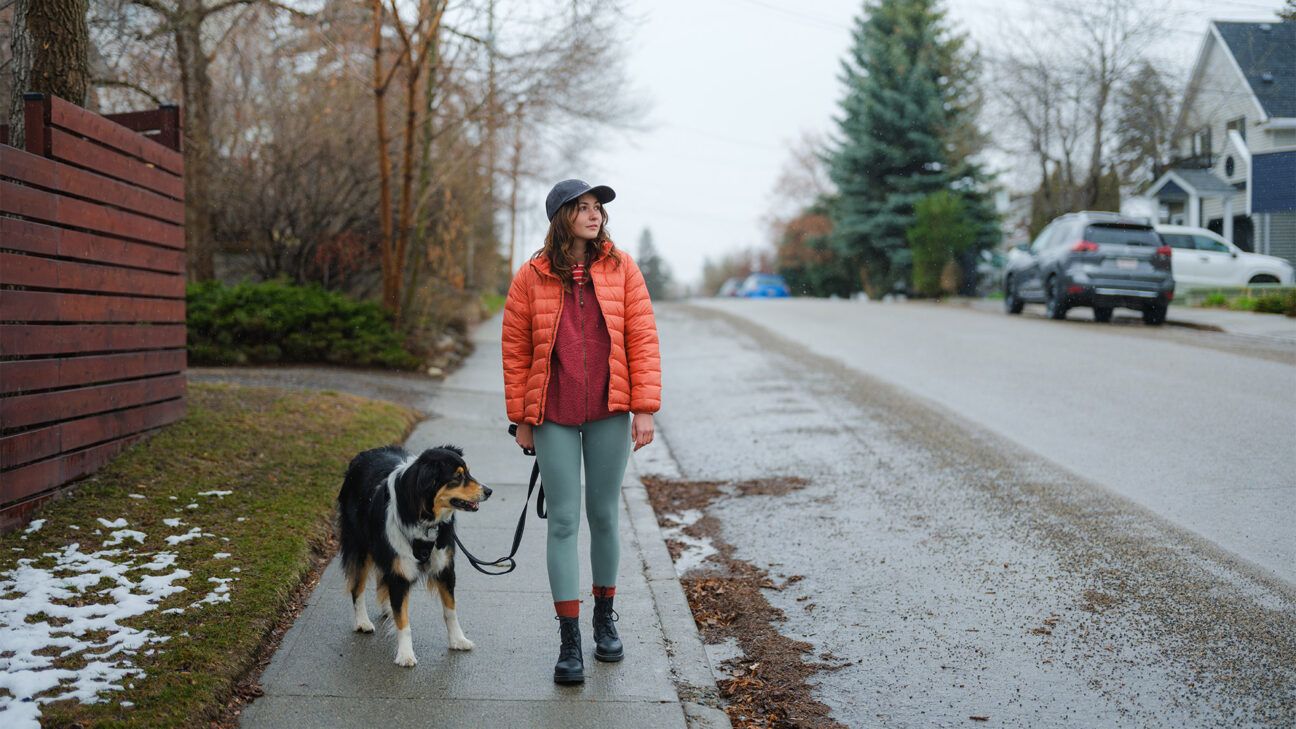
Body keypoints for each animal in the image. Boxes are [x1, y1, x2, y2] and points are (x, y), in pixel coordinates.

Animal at [334, 443, 489, 664]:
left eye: (468, 472)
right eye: (457, 477)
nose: (489, 491)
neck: (424, 517)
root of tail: (361, 456)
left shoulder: (445, 567)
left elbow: (450, 610)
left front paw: (458, 640)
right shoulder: (400, 569)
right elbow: (403, 621)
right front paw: (405, 654)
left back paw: (387, 608)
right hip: (360, 547)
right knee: (357, 587)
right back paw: (362, 622)